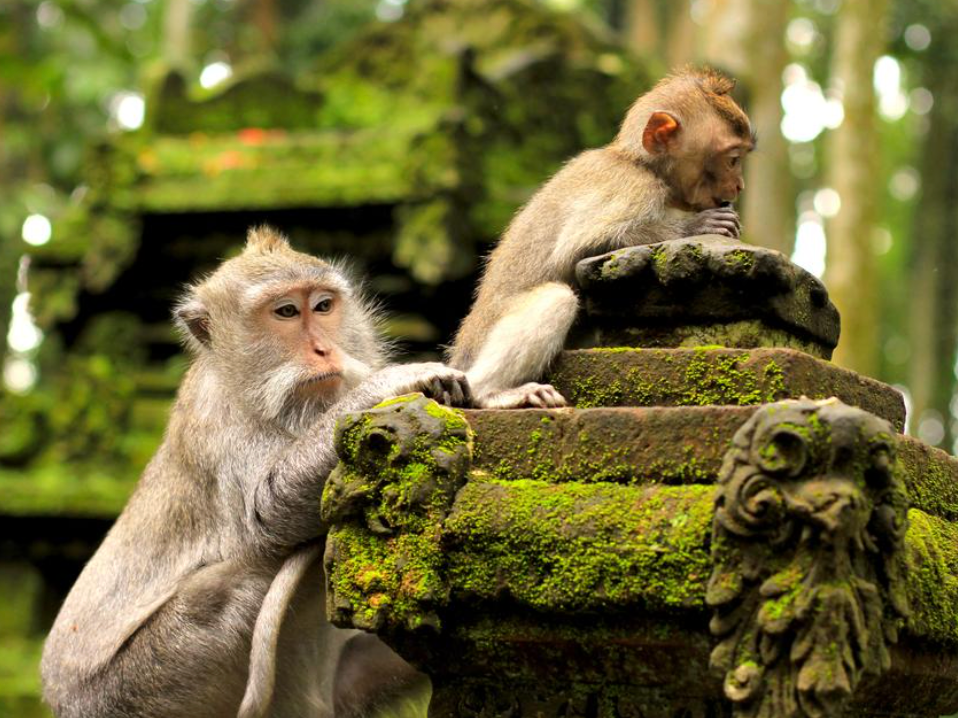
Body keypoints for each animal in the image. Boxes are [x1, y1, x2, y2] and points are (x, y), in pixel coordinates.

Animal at [41, 226, 470, 718]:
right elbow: (266, 513)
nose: (324, 349)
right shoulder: (219, 421)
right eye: (285, 312)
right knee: (233, 582)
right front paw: (392, 382)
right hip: (140, 684)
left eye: (323, 306)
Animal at [448, 67, 753, 409]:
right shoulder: (633, 188)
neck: (640, 163)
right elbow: (580, 245)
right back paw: (491, 392)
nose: (739, 185)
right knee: (557, 298)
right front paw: (696, 225)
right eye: (732, 159)